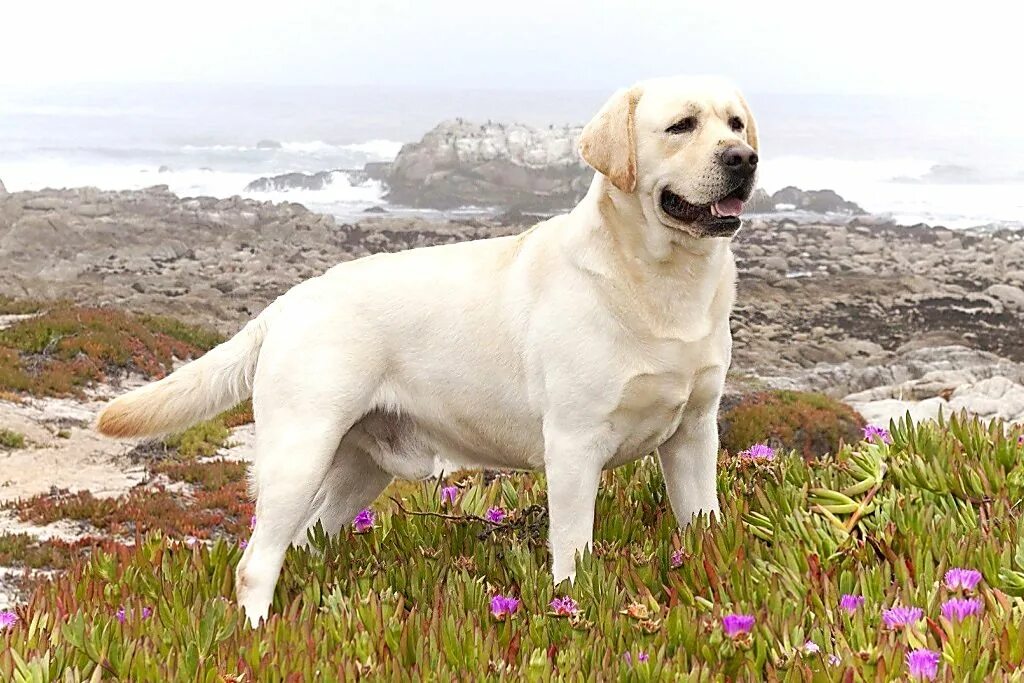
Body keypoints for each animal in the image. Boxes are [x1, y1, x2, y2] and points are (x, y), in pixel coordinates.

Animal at [96, 74, 761, 626]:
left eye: (735, 123)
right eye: (681, 126)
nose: (744, 159)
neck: (663, 282)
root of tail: (286, 303)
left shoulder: (694, 433)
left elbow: (702, 521)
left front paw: (711, 572)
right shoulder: (574, 445)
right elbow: (573, 550)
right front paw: (572, 605)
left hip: (358, 468)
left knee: (306, 539)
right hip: (298, 452)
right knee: (255, 561)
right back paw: (257, 636)